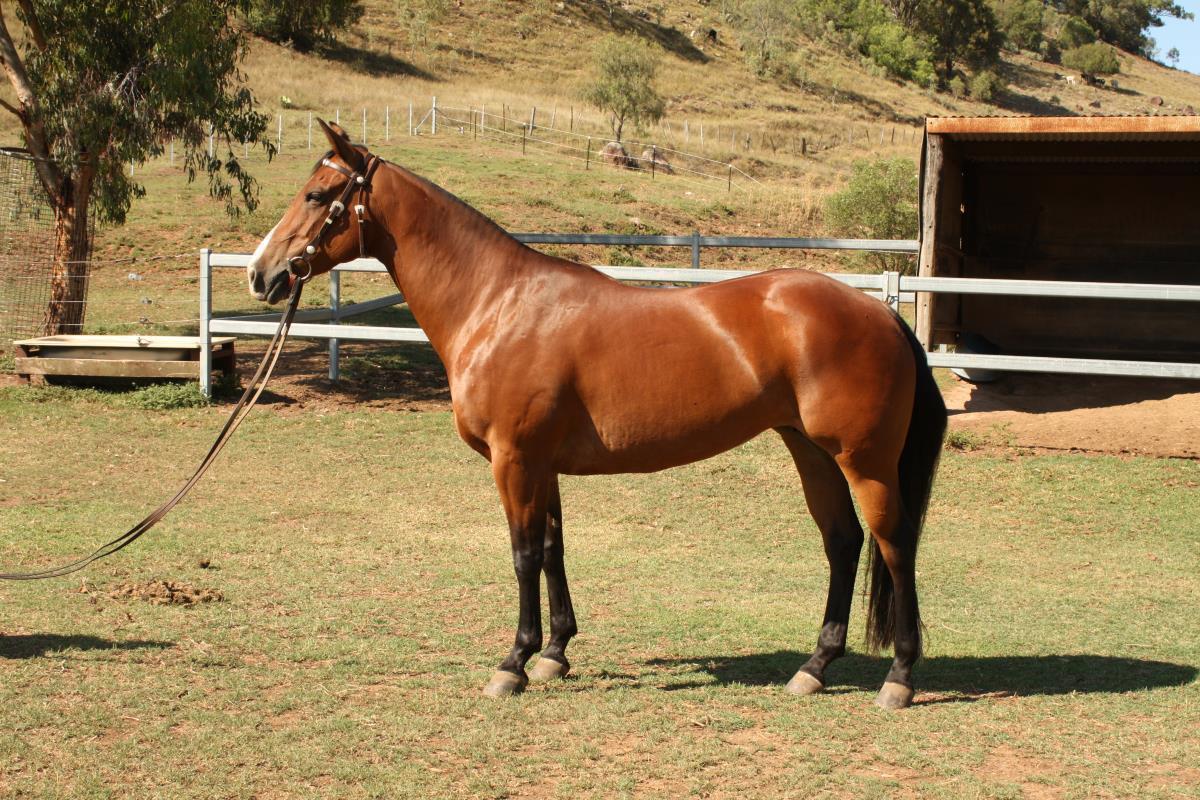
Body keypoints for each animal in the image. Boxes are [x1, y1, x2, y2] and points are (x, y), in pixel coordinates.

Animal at [246, 120, 947, 710]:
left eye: (316, 194)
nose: (261, 274)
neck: (497, 303)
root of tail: (878, 311)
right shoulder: (542, 464)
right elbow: (554, 547)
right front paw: (555, 653)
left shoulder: (515, 460)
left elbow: (523, 553)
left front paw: (514, 662)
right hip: (809, 449)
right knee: (843, 541)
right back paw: (814, 667)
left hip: (864, 461)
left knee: (894, 545)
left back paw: (899, 677)